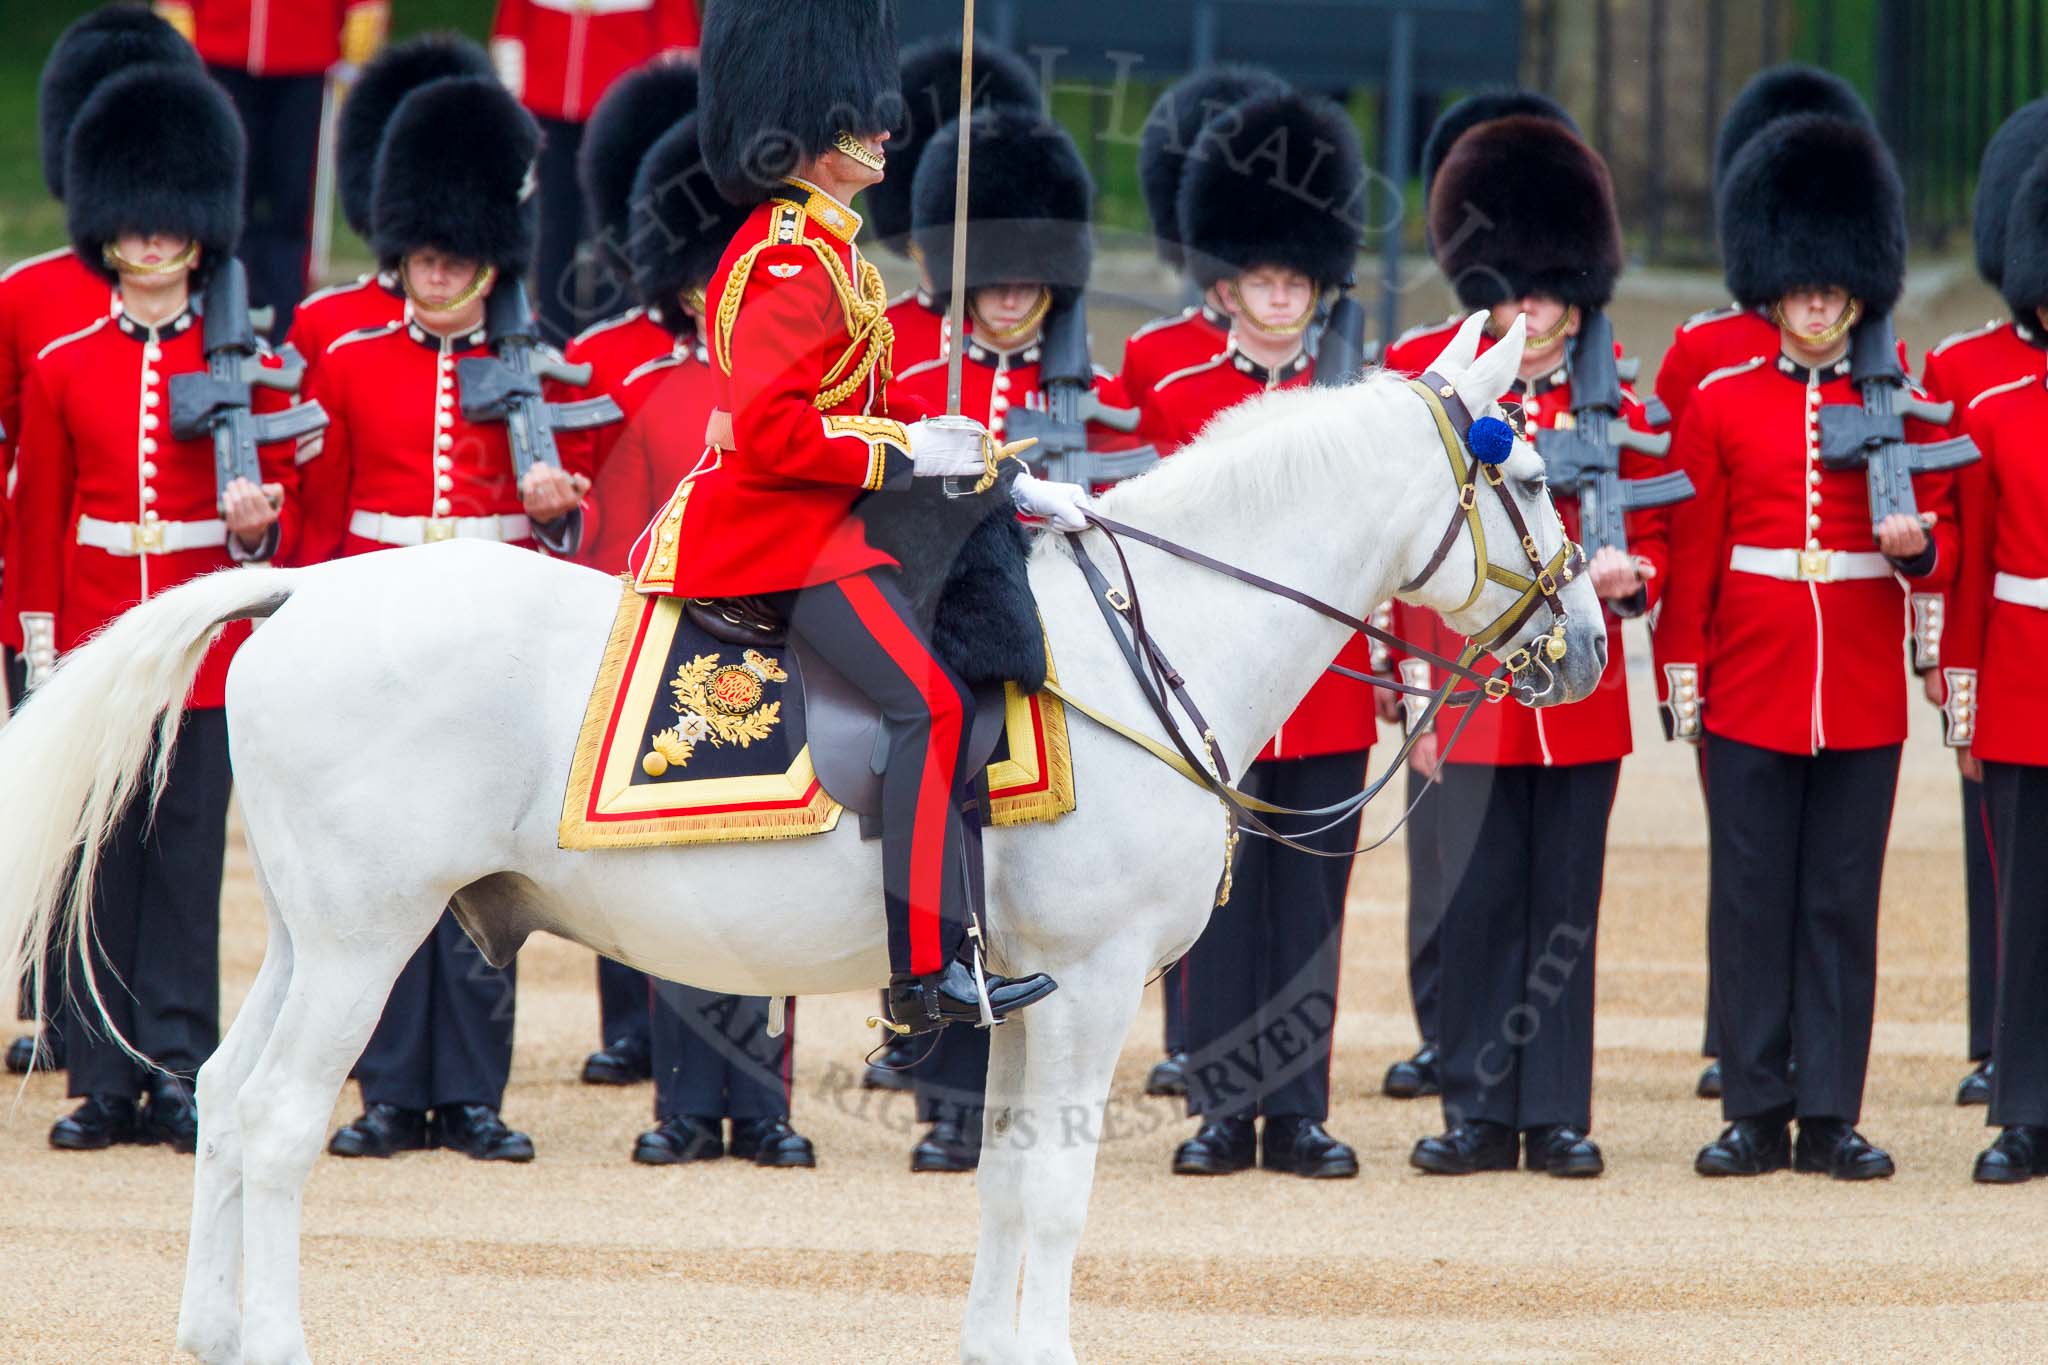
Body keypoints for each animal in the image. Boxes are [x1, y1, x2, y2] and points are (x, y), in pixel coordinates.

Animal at [0, 312, 1603, 1364]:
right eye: (1528, 478)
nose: (1591, 643)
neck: (1151, 635)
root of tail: (305, 590)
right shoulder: (1089, 985)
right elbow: (1059, 1190)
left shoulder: (1021, 988)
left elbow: (1007, 1175)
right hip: (366, 936)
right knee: (276, 1117)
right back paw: (270, 1336)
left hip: (315, 930)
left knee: (224, 1094)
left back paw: (211, 1328)